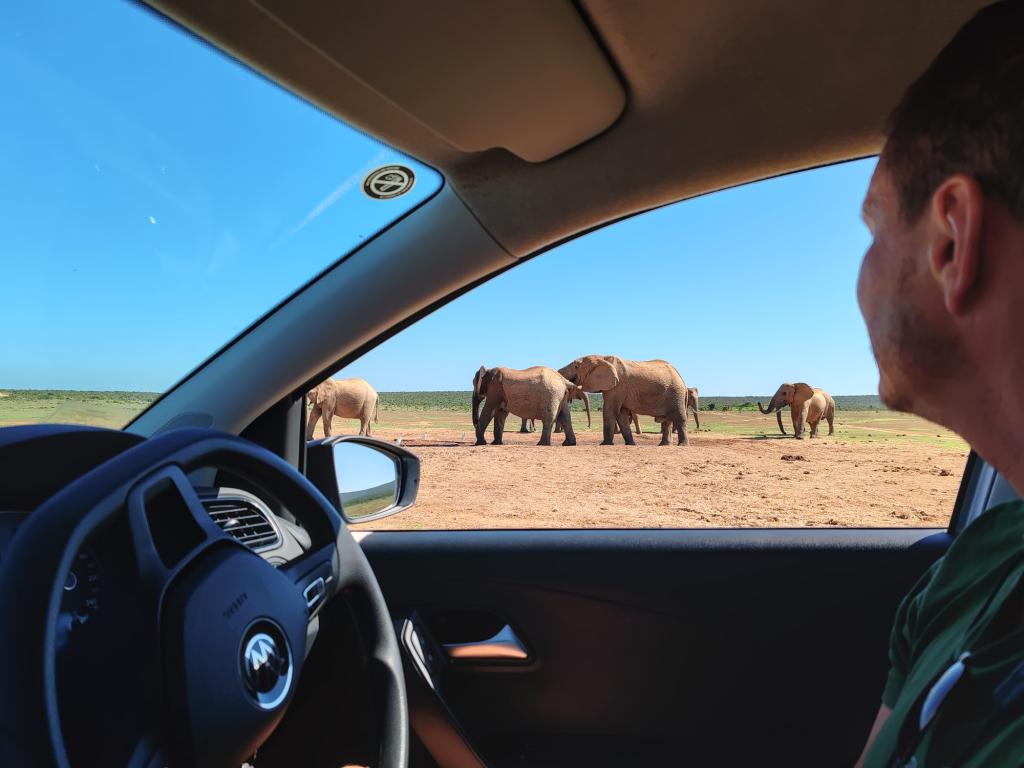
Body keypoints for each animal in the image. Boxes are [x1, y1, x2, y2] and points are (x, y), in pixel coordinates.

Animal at [559, 355, 690, 446]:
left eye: (576, 366)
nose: (588, 426)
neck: (602, 357)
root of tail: (681, 377)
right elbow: (621, 415)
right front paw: (630, 444)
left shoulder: (618, 386)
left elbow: (609, 411)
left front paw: (605, 444)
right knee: (667, 420)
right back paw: (663, 445)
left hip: (676, 393)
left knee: (679, 417)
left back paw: (682, 445)